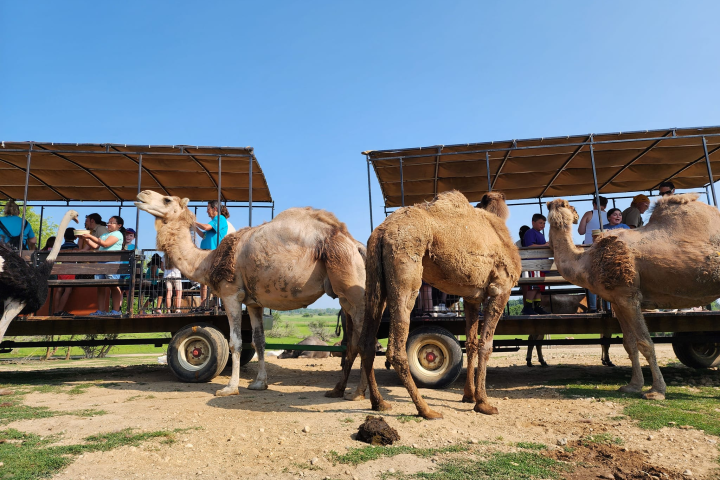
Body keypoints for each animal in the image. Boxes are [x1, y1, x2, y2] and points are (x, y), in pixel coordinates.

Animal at [136, 190, 372, 398]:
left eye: (167, 200)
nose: (142, 194)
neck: (207, 262)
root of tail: (355, 244)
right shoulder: (253, 302)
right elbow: (259, 341)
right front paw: (259, 383)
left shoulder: (231, 294)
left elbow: (236, 342)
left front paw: (230, 388)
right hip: (344, 293)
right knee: (353, 340)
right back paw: (337, 390)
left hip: (349, 281)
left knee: (364, 339)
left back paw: (358, 393)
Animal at [360, 191, 524, 420]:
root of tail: (381, 232)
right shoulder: (501, 287)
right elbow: (486, 345)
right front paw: (483, 403)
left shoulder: (472, 297)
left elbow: (472, 344)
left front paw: (469, 396)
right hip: (406, 269)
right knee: (396, 349)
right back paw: (426, 409)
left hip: (374, 278)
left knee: (367, 341)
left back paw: (379, 403)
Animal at [544, 193, 720, 400]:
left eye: (569, 206)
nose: (577, 214)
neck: (586, 262)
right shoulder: (617, 300)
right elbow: (629, 344)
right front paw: (633, 386)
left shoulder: (628, 295)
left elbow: (645, 343)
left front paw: (656, 391)